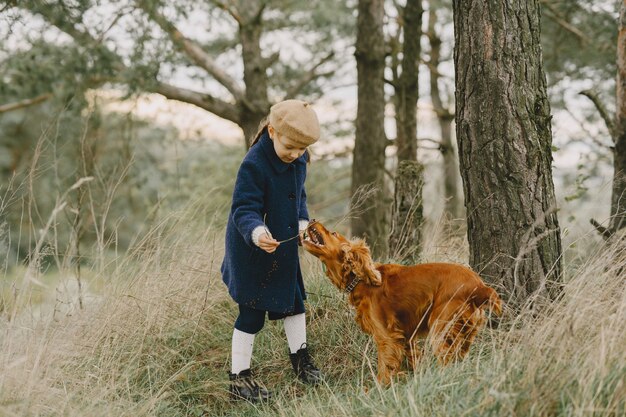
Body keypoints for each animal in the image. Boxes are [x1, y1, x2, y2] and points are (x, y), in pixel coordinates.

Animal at [300, 219, 500, 386]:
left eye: (333, 233)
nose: (311, 219)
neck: (361, 280)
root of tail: (480, 286)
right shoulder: (406, 337)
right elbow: (412, 359)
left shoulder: (386, 337)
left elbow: (384, 367)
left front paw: (378, 389)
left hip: (441, 328)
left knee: (448, 361)